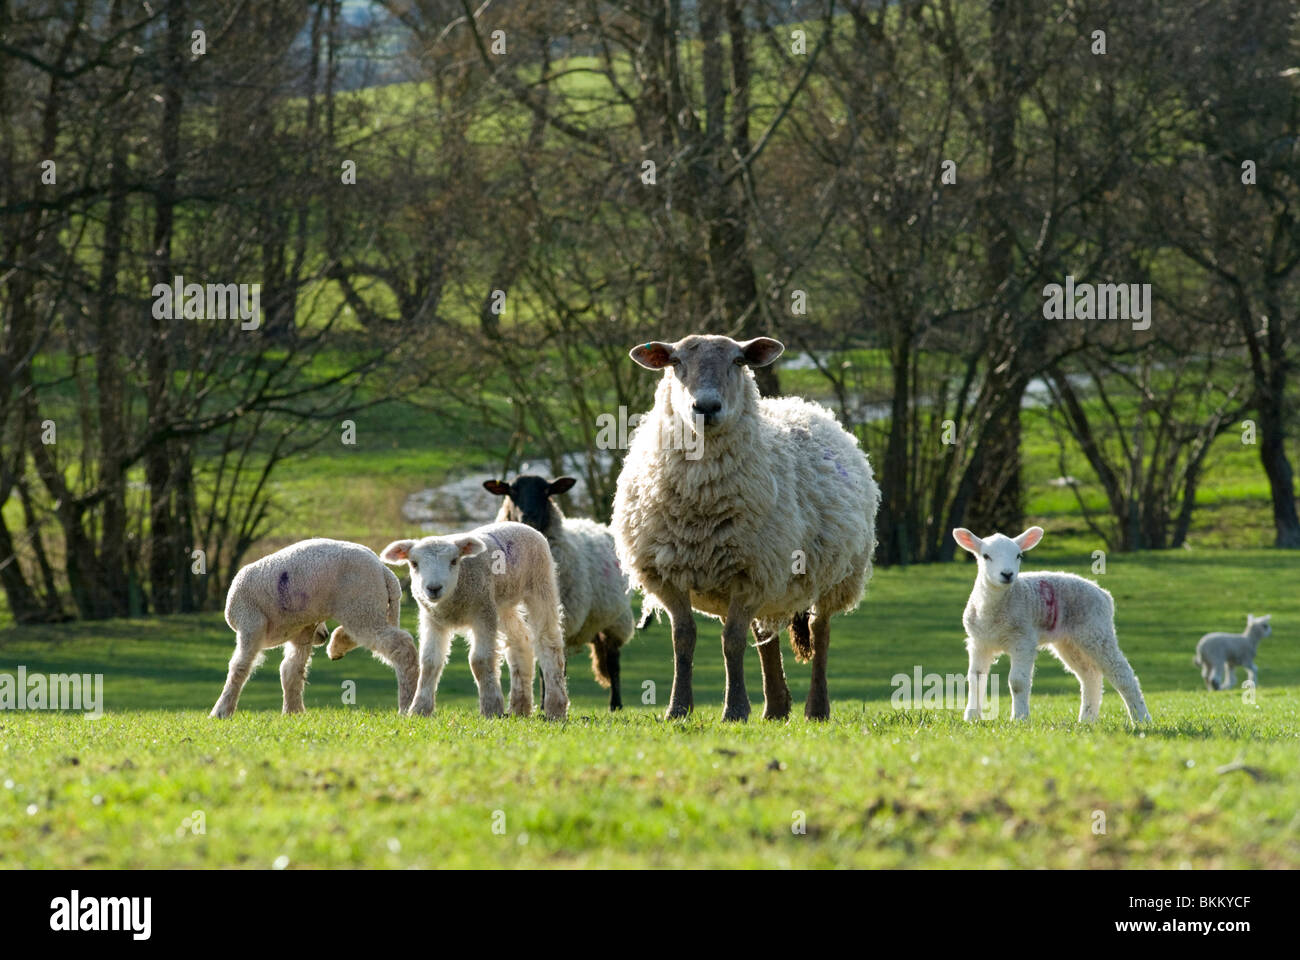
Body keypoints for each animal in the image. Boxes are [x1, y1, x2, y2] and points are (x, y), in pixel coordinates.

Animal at [210, 535, 416, 712]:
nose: (323, 635)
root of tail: (385, 571)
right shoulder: (303, 628)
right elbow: (291, 670)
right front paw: (293, 713)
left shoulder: (250, 622)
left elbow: (239, 668)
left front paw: (221, 711)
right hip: (367, 607)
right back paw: (337, 645)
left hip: (361, 604)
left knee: (401, 645)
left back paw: (407, 705)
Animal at [369, 520, 566, 712]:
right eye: (414, 564)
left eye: (454, 561)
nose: (433, 588)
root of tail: (520, 524)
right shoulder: (432, 619)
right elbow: (429, 662)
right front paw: (419, 710)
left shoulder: (483, 613)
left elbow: (480, 661)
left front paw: (491, 708)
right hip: (501, 603)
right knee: (520, 639)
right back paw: (520, 708)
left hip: (540, 583)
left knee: (548, 641)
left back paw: (555, 708)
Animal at [486, 473, 637, 707]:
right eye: (512, 492)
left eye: (546, 492)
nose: (529, 517)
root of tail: (594, 524)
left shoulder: (561, 620)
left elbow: (550, 665)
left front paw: (547, 702)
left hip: (615, 620)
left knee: (614, 662)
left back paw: (616, 704)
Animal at [611, 335, 878, 718]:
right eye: (675, 362)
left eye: (739, 361)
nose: (706, 406)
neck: (701, 505)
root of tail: (806, 405)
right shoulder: (668, 574)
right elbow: (684, 639)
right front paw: (678, 708)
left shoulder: (752, 574)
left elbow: (732, 642)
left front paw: (735, 710)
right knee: (765, 635)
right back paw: (776, 708)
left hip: (838, 575)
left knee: (820, 630)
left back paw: (816, 708)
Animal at [951, 528, 1154, 723]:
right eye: (986, 556)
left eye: (1018, 555)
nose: (1007, 574)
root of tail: (1104, 594)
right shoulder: (978, 641)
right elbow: (975, 679)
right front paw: (971, 718)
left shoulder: (1023, 639)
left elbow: (1017, 682)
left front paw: (1020, 718)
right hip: (1069, 641)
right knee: (1090, 675)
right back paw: (1087, 719)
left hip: (1096, 629)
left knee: (1122, 673)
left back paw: (1142, 718)